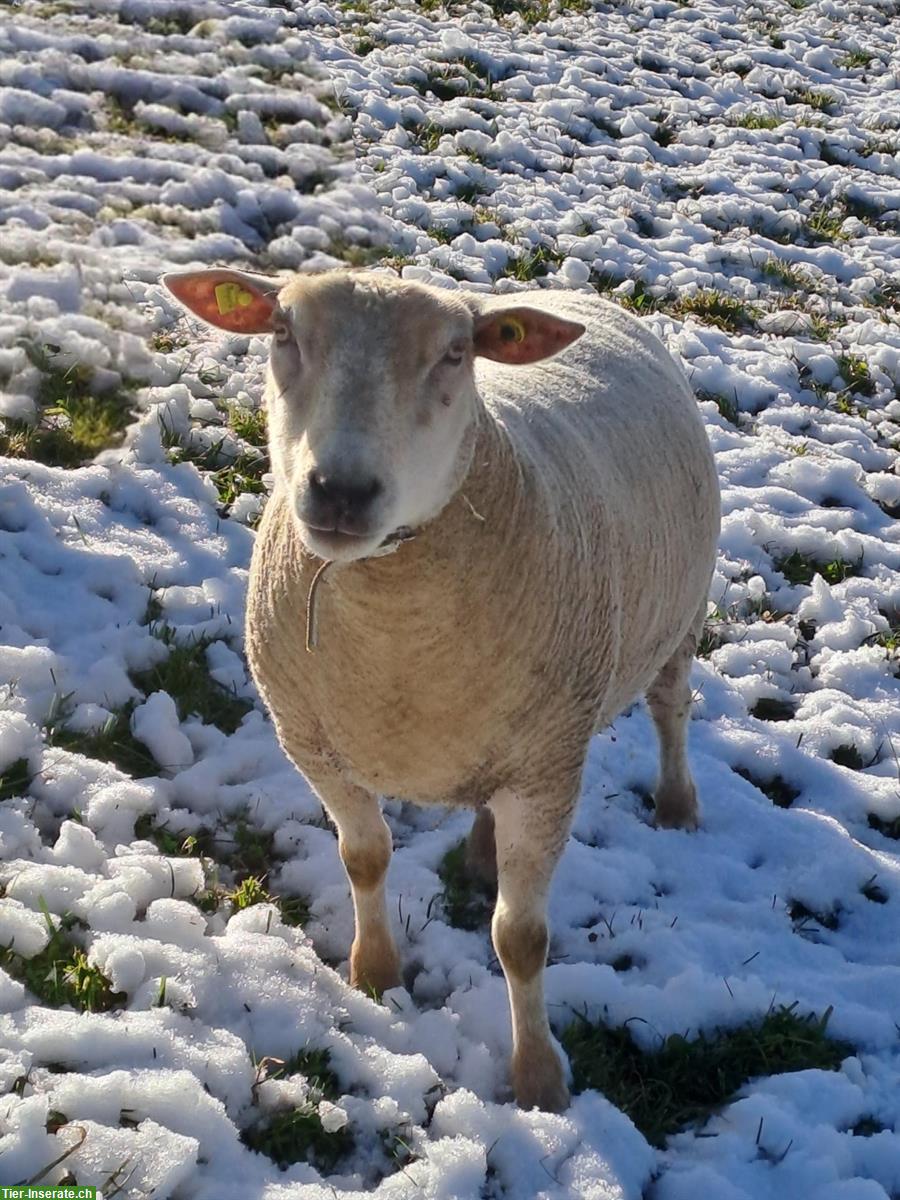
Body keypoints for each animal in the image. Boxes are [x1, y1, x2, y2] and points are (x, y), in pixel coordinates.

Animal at [162, 266, 721, 1113]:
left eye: (456, 353)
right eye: (282, 331)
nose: (340, 491)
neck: (397, 628)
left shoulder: (549, 770)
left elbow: (520, 939)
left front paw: (539, 1080)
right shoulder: (314, 744)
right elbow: (364, 858)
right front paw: (374, 972)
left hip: (681, 618)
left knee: (669, 707)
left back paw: (678, 803)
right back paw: (483, 853)